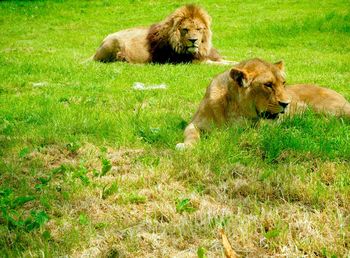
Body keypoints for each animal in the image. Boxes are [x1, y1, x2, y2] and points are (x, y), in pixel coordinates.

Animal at [92, 4, 232, 64]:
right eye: (185, 29)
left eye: (198, 29)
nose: (193, 40)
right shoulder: (190, 62)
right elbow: (216, 64)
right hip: (113, 42)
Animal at [178, 57, 350, 148]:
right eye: (268, 85)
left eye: (283, 83)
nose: (287, 103)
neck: (234, 108)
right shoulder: (195, 123)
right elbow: (191, 134)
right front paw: (186, 147)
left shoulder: (257, 129)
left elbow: (234, 135)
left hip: (329, 108)